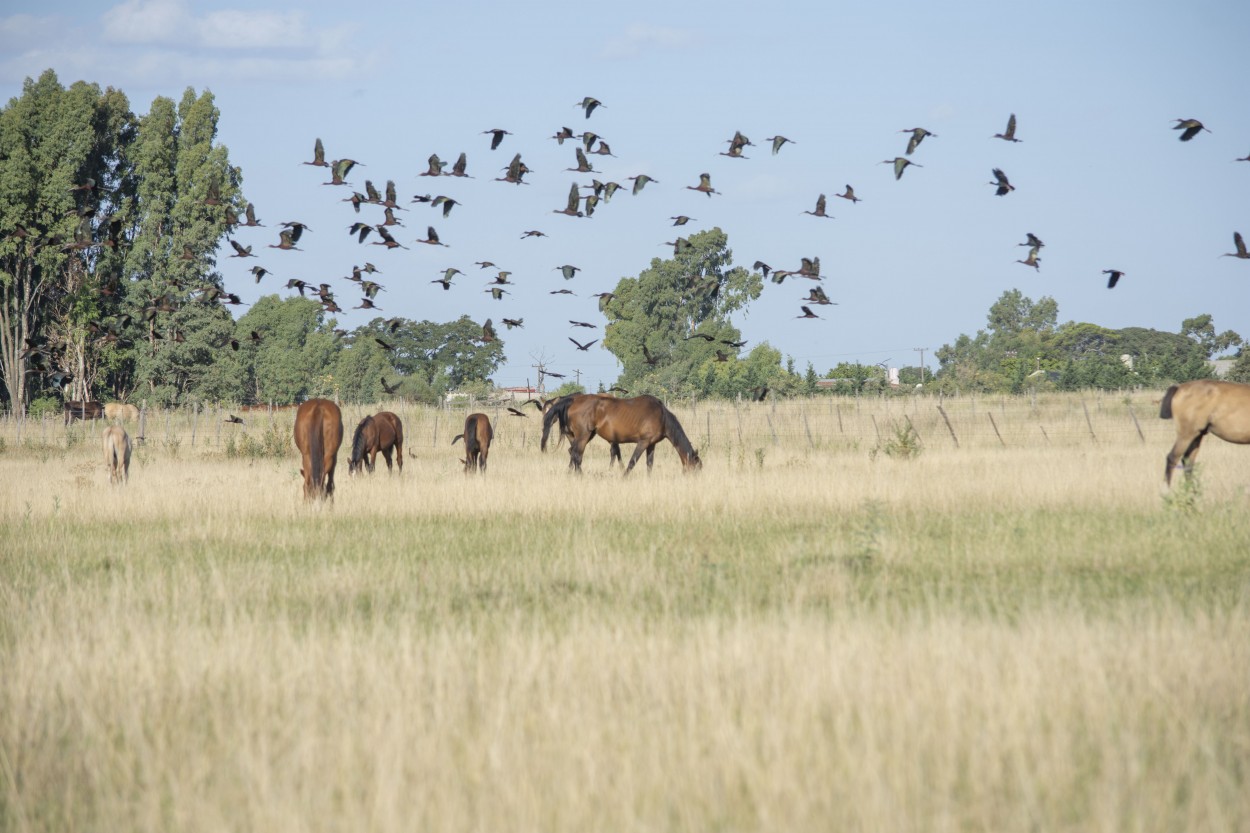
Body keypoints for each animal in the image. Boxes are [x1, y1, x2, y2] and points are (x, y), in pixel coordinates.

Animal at [567, 390, 705, 470]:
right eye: (696, 468)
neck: (662, 416)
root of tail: (574, 402)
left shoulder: (651, 444)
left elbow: (649, 464)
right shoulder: (643, 442)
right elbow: (632, 462)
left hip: (587, 435)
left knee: (573, 453)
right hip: (583, 435)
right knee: (577, 455)